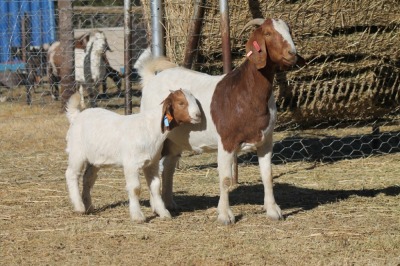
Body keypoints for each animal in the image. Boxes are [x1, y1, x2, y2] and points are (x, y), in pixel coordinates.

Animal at [137, 18, 304, 224]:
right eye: (267, 33)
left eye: (289, 31)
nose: (292, 54)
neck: (245, 92)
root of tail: (150, 79)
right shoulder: (226, 141)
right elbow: (225, 179)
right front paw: (225, 215)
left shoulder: (266, 140)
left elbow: (267, 175)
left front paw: (273, 211)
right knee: (151, 168)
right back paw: (157, 207)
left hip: (175, 139)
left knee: (168, 166)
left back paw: (170, 203)